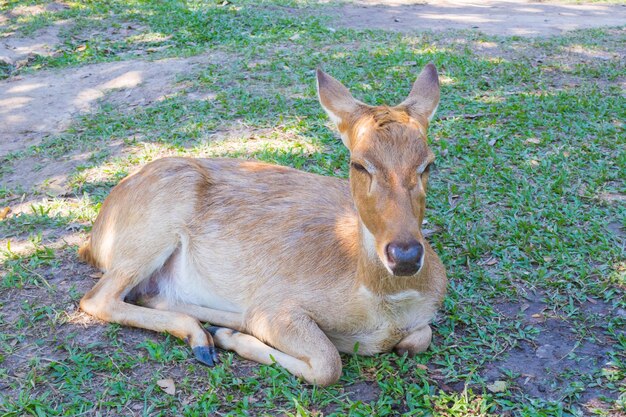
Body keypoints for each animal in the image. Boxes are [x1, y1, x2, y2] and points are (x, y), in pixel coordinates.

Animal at [78, 63, 446, 386]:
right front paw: (234, 336)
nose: (405, 255)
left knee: (144, 294)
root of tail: (92, 240)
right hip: (152, 227)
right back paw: (206, 338)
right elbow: (328, 365)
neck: (382, 307)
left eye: (427, 163)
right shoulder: (278, 305)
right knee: (97, 298)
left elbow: (418, 338)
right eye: (358, 164)